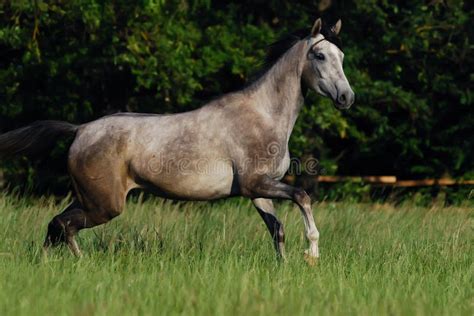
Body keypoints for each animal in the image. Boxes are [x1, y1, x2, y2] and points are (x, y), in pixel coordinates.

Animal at [0, 19, 352, 262]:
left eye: (342, 55)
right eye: (320, 55)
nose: (347, 97)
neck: (262, 115)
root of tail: (80, 129)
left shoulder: (257, 192)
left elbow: (277, 230)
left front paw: (286, 267)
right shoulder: (257, 183)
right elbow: (303, 196)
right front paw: (312, 253)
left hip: (89, 198)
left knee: (56, 227)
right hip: (104, 205)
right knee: (63, 226)